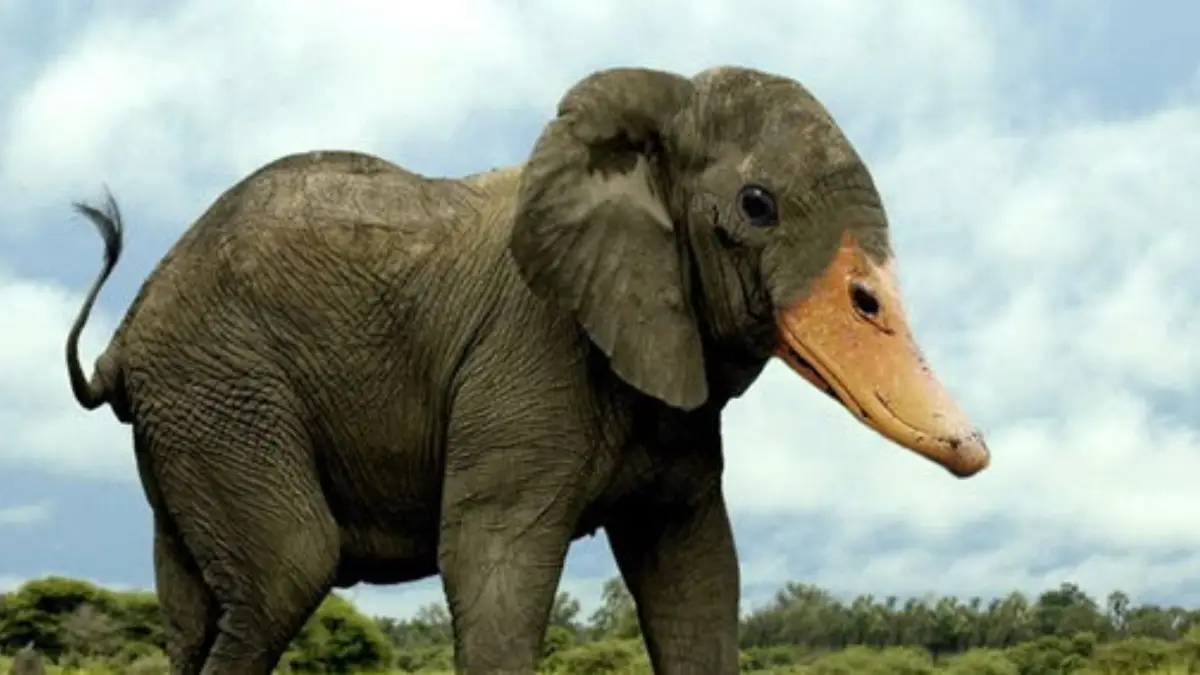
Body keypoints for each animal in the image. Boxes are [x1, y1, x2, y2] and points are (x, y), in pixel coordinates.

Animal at [64, 65, 989, 674]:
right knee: (285, 570)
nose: (973, 450)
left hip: (192, 411)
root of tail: (124, 337)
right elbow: (492, 564)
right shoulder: (528, 354)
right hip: (221, 389)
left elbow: (696, 574)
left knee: (198, 608)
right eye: (757, 205)